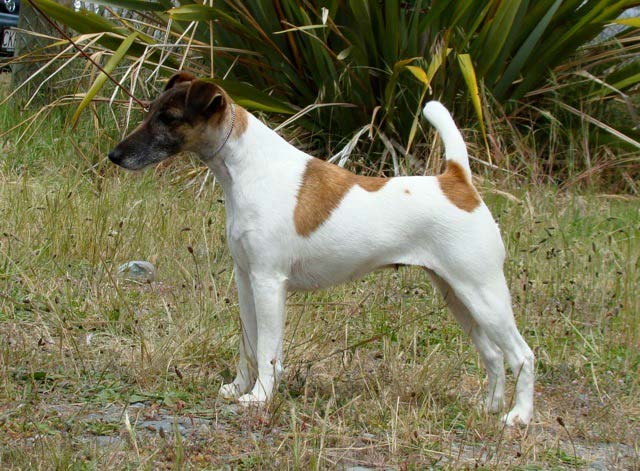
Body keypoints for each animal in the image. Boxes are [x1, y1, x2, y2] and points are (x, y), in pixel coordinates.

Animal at [109, 72, 536, 426]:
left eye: (169, 117)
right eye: (151, 111)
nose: (115, 156)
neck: (251, 169)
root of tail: (457, 181)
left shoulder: (268, 283)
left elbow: (268, 350)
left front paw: (260, 397)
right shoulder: (246, 278)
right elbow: (248, 344)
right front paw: (238, 388)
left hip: (483, 294)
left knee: (522, 355)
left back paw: (518, 416)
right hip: (457, 295)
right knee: (493, 355)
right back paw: (489, 407)